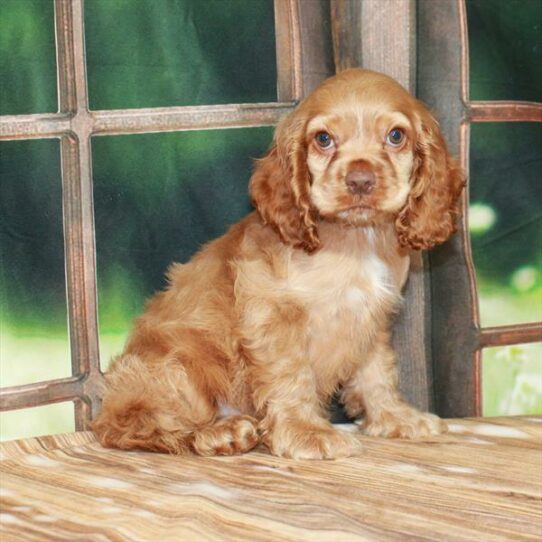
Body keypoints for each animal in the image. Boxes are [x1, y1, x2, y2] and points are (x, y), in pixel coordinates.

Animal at [91, 67, 466, 460]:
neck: (354, 240)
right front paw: (307, 433)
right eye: (323, 139)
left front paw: (395, 417)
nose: (360, 180)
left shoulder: (371, 319)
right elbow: (292, 375)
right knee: (130, 425)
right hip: (177, 369)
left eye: (396, 136)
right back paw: (220, 432)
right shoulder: (274, 314)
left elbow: (377, 371)